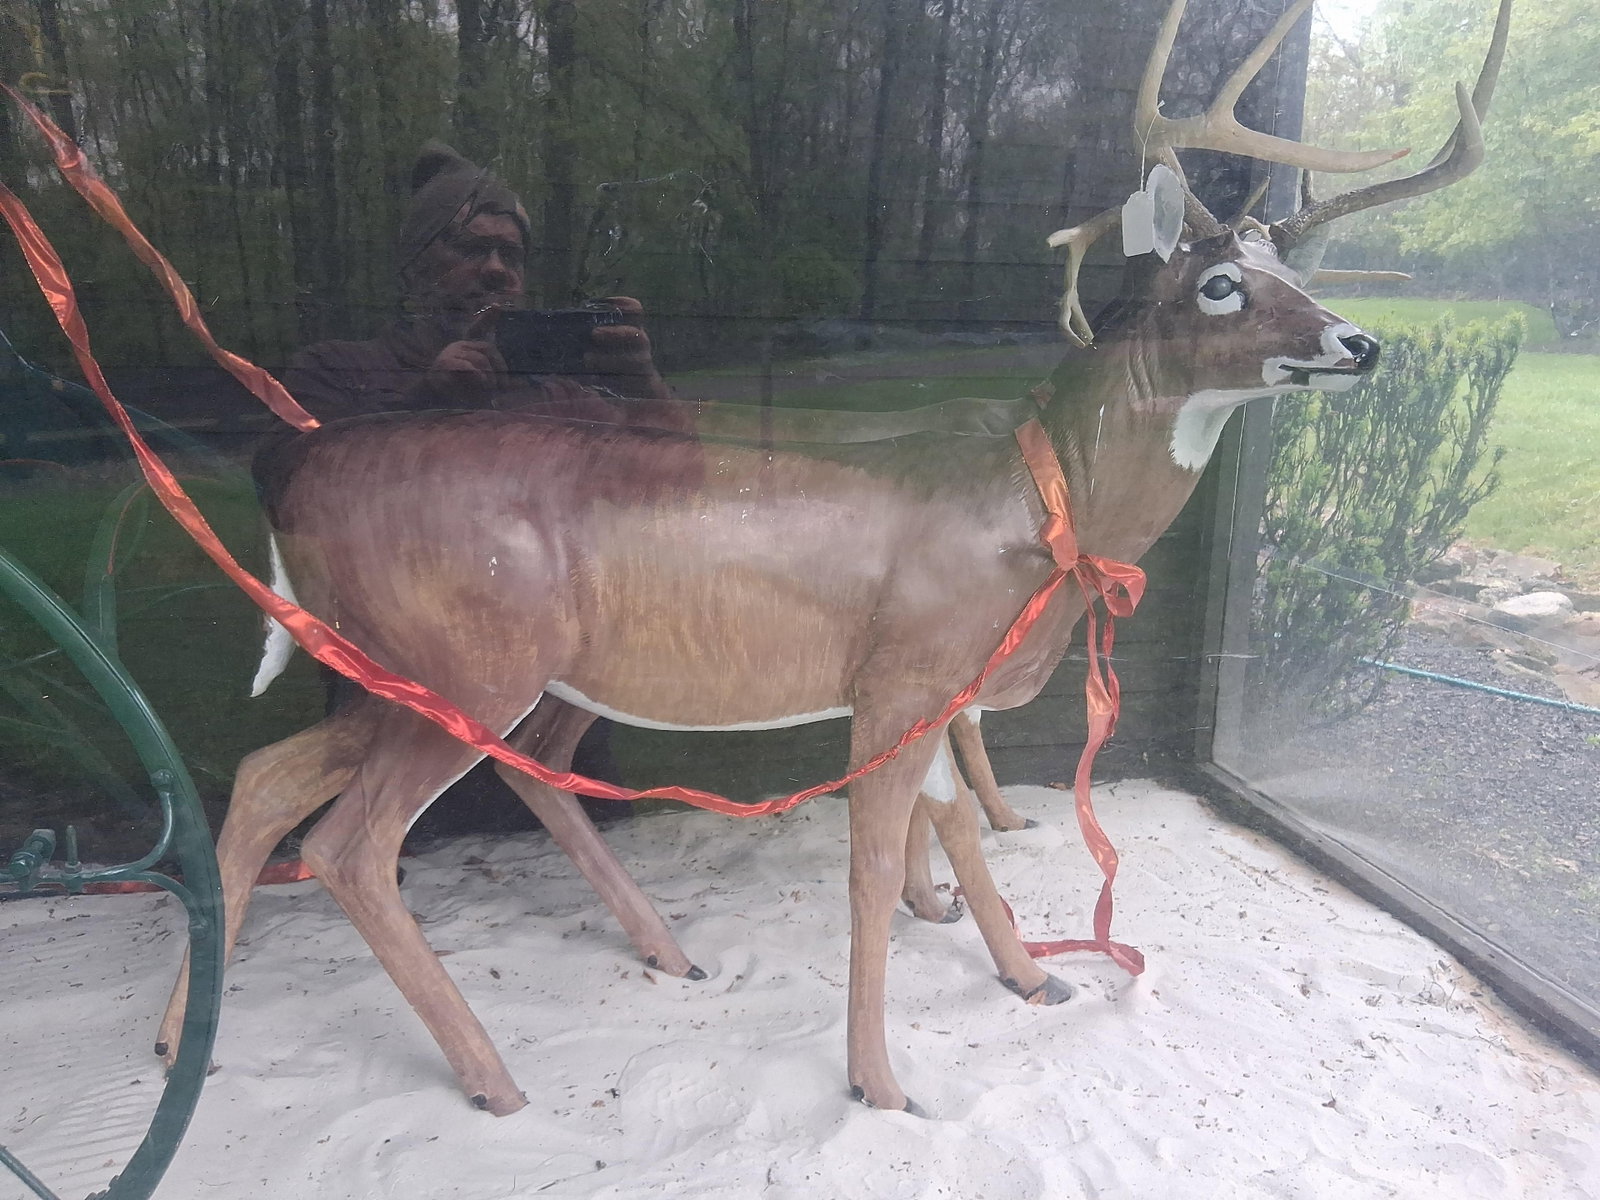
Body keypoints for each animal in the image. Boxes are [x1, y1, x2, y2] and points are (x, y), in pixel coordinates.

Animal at [154, 0, 1508, 1118]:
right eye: (1222, 281)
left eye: (1296, 268)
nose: (1359, 342)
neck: (1040, 499)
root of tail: (287, 475)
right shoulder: (902, 673)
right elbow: (871, 867)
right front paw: (882, 1083)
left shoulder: (945, 683)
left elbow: (960, 831)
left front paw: (1031, 980)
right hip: (464, 661)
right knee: (350, 843)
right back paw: (492, 1076)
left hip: (412, 669)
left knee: (272, 779)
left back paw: (194, 1038)